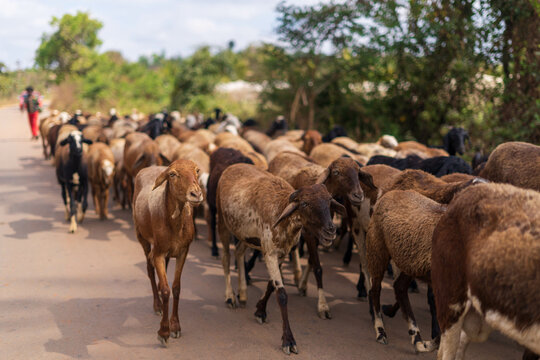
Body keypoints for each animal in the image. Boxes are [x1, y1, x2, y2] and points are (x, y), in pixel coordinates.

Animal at [133, 160, 205, 346]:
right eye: (172, 174)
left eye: (197, 170)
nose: (196, 194)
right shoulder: (158, 252)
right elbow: (166, 291)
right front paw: (164, 332)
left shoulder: (183, 251)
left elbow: (176, 288)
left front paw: (176, 326)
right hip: (141, 236)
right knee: (149, 268)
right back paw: (157, 305)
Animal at [216, 164, 346, 354]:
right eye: (305, 204)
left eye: (329, 201)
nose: (330, 231)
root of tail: (233, 166)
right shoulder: (269, 252)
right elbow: (282, 294)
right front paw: (288, 340)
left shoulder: (283, 252)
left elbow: (271, 285)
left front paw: (260, 310)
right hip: (223, 222)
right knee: (226, 258)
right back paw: (230, 297)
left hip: (245, 235)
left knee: (239, 252)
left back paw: (243, 293)